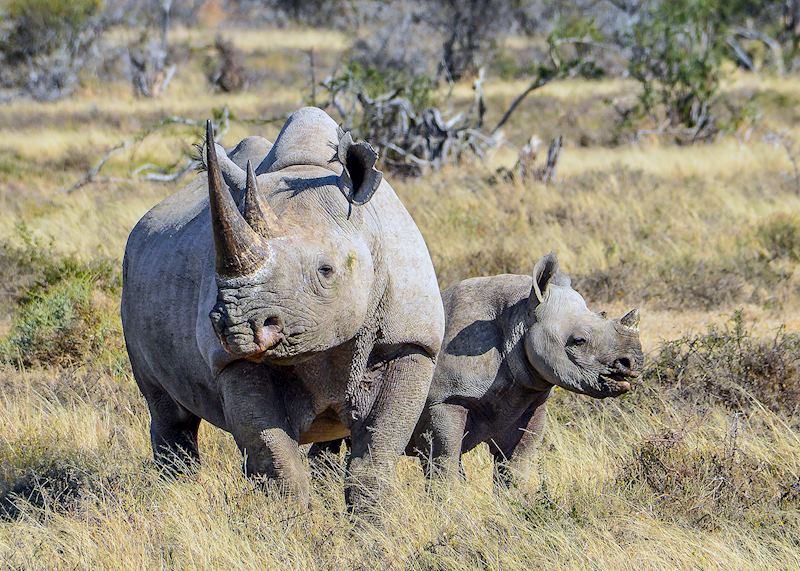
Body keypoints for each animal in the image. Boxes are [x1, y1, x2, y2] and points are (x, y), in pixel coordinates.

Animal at [120, 106, 444, 510]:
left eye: (326, 270)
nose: (237, 326)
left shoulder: (411, 342)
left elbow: (374, 458)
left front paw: (372, 524)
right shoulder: (231, 361)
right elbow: (278, 465)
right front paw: (291, 523)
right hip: (132, 274)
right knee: (168, 412)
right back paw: (175, 496)